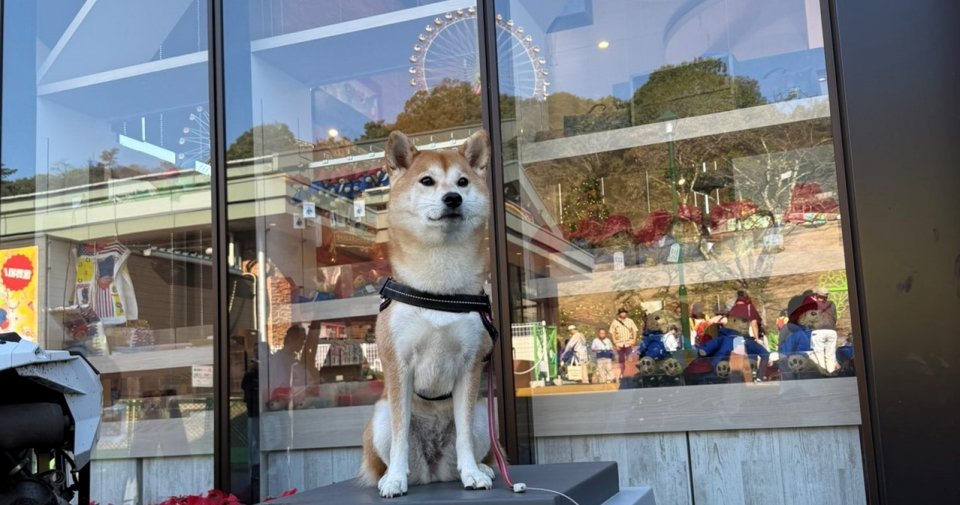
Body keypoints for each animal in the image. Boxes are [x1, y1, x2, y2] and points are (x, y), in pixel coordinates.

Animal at [358, 129, 496, 496]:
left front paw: (472, 473)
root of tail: (432, 471)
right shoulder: (398, 365)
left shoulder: (470, 365)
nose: (453, 198)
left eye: (463, 181)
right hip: (378, 419)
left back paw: (480, 469)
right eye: (427, 181)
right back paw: (391, 475)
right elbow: (400, 435)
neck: (440, 291)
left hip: (483, 418)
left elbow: (463, 435)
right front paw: (395, 480)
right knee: (390, 450)